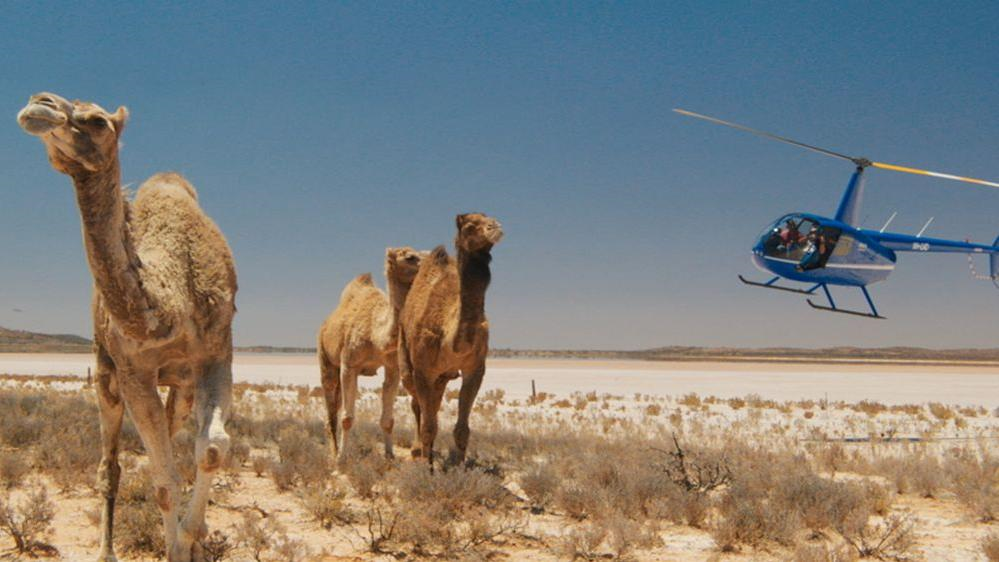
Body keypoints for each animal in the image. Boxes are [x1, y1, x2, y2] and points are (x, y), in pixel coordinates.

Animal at [17, 93, 236, 560]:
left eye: (98, 121)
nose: (38, 105)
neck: (170, 301)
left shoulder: (216, 354)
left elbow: (209, 450)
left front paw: (193, 537)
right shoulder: (133, 370)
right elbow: (165, 481)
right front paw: (178, 546)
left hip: (181, 385)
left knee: (173, 437)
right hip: (104, 372)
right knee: (110, 466)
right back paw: (107, 551)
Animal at [318, 247, 428, 458]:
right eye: (409, 257)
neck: (375, 335)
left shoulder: (392, 367)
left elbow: (388, 420)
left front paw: (390, 456)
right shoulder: (349, 364)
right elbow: (347, 418)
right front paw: (341, 459)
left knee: (337, 404)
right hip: (326, 359)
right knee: (331, 410)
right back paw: (333, 453)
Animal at [398, 212, 504, 466]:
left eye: (490, 217)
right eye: (470, 225)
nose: (495, 227)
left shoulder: (475, 368)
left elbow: (462, 429)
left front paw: (459, 466)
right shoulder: (423, 370)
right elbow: (428, 425)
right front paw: (428, 468)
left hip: (442, 377)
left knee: (433, 405)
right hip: (406, 361)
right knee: (417, 404)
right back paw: (418, 450)